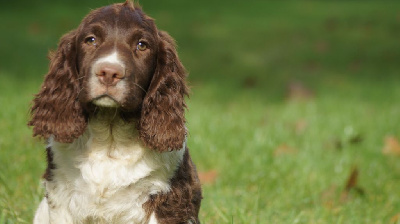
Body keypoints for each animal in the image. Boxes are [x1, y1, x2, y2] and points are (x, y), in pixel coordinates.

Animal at [28, 1, 202, 222]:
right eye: (91, 40)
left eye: (142, 45)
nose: (109, 72)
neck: (110, 136)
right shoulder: (60, 194)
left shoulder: (169, 198)